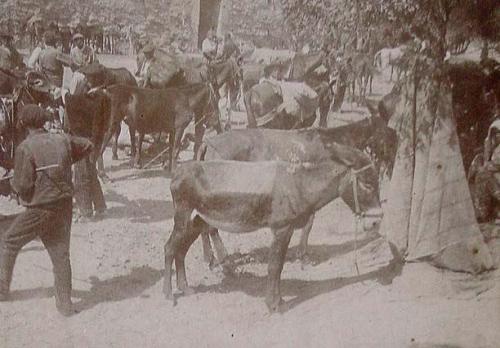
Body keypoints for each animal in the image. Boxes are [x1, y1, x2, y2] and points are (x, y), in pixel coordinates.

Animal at [162, 143, 380, 312]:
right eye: (368, 184)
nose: (376, 222)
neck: (301, 184)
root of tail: (179, 171)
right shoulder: (282, 229)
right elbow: (274, 266)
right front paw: (274, 305)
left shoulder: (288, 229)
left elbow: (280, 265)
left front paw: (278, 301)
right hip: (183, 215)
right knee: (170, 248)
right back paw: (168, 294)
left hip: (199, 219)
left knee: (181, 249)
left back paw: (185, 288)